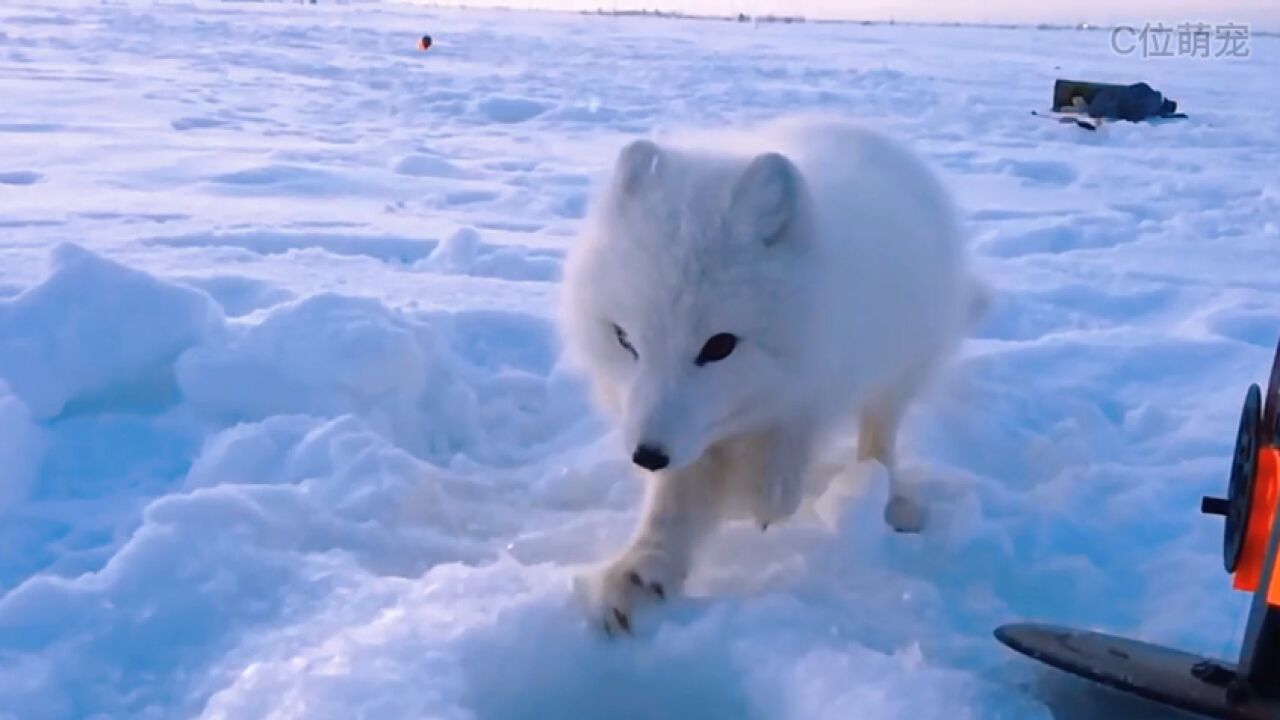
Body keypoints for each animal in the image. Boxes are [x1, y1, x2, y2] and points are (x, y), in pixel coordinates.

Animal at [555, 114, 983, 630]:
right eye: (623, 339)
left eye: (719, 345)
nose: (647, 456)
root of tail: (864, 131)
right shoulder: (681, 432)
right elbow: (672, 505)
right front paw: (640, 573)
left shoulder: (810, 387)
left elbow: (783, 457)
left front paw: (761, 498)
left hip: (901, 371)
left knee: (879, 440)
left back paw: (890, 499)